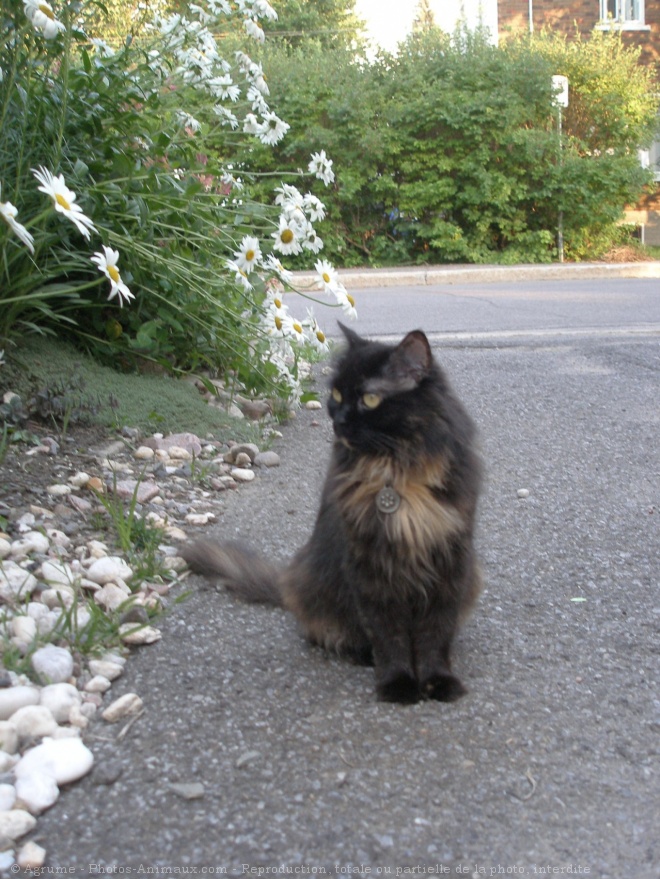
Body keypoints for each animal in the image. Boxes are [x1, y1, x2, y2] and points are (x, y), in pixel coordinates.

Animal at [183, 326, 482, 704]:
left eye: (370, 399)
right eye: (337, 394)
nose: (338, 421)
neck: (393, 470)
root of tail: (288, 579)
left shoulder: (449, 561)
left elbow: (435, 634)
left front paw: (439, 682)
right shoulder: (370, 565)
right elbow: (389, 636)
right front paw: (398, 684)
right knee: (326, 632)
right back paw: (360, 653)